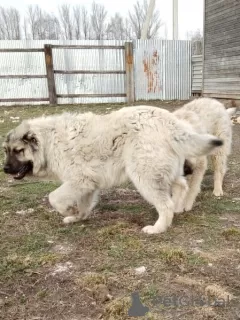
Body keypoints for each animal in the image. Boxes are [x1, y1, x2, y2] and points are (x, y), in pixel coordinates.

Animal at [2, 106, 223, 234]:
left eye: (18, 151)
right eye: (6, 150)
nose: (4, 169)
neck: (48, 143)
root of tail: (170, 122)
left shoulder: (79, 180)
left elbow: (53, 198)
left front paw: (69, 211)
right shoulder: (87, 184)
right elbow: (83, 205)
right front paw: (77, 217)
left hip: (144, 176)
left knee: (165, 204)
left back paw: (158, 228)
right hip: (162, 170)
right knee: (181, 186)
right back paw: (177, 209)